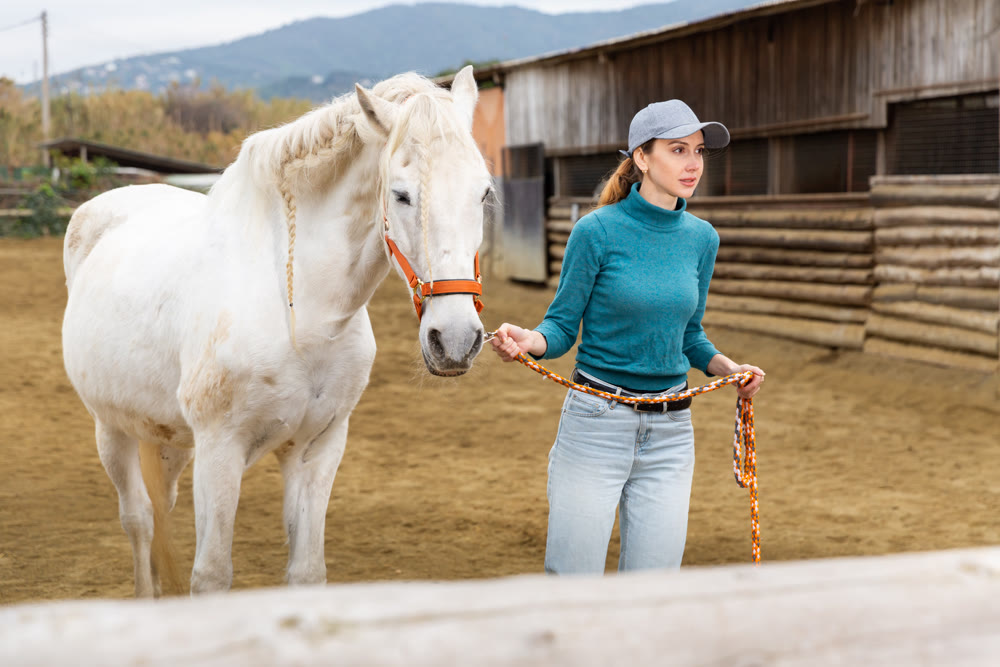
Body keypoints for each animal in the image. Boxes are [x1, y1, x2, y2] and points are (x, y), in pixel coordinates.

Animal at [61, 66, 492, 597]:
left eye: (483, 193)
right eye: (401, 194)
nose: (455, 340)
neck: (301, 316)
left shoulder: (317, 450)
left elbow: (307, 571)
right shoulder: (220, 451)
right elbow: (212, 574)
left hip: (166, 438)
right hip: (112, 428)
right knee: (139, 520)